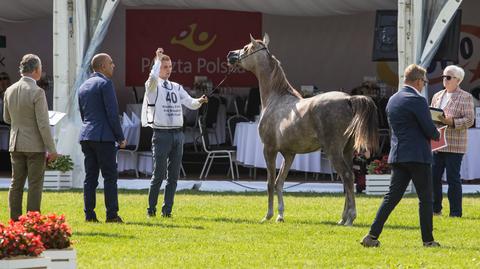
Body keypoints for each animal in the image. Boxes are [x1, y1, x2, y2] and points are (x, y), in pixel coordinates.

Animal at [229, 34, 378, 225]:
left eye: (247, 47)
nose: (231, 54)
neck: (276, 98)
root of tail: (349, 99)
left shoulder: (269, 150)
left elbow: (270, 182)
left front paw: (268, 215)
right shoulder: (289, 154)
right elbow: (279, 182)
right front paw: (280, 215)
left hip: (333, 151)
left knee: (346, 176)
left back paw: (350, 218)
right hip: (346, 151)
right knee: (349, 179)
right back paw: (342, 218)